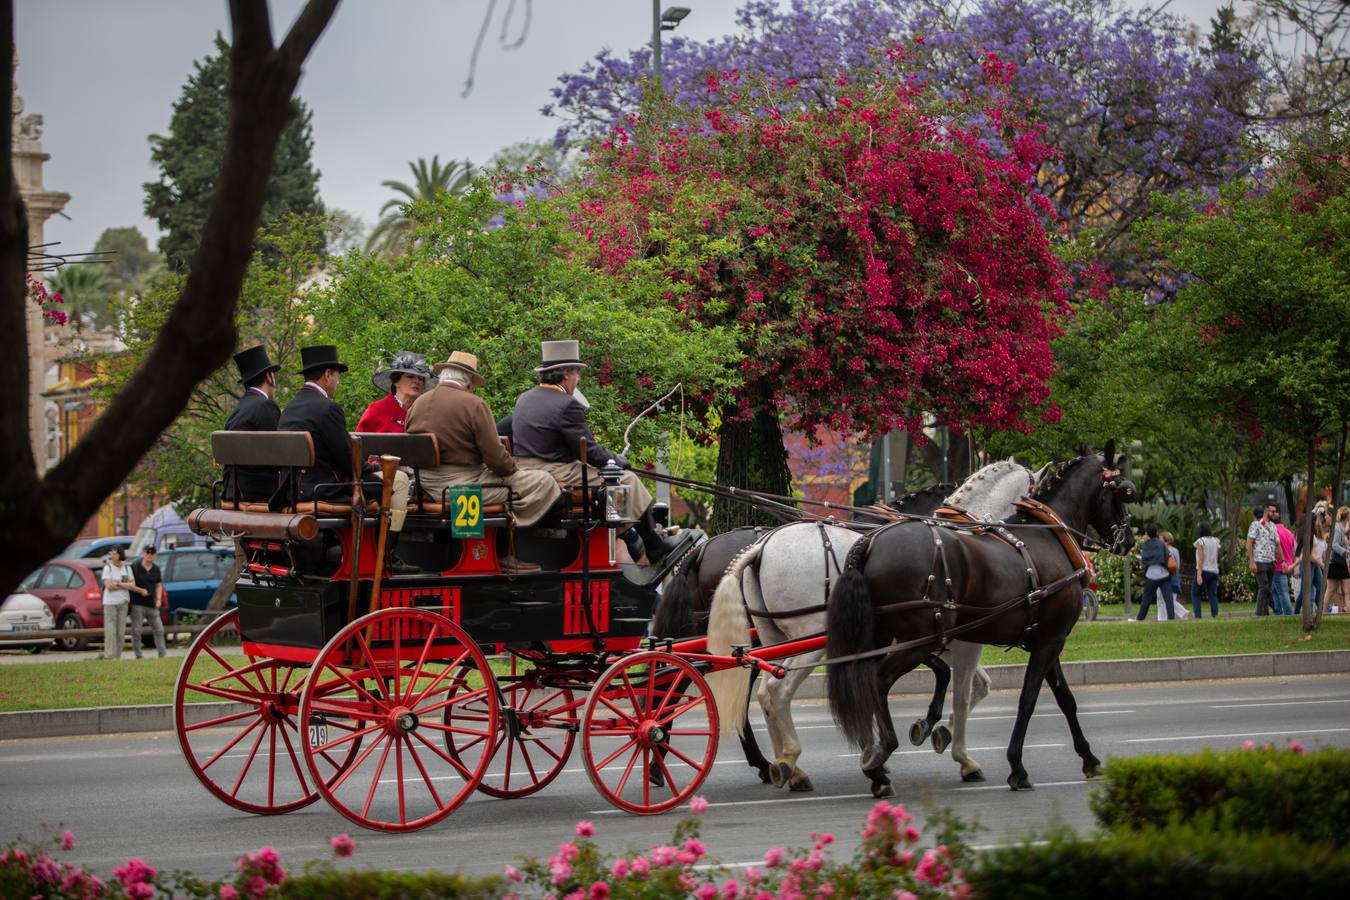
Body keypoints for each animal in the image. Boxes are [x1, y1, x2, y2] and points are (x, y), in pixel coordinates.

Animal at [691, 461, 1036, 793]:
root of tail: (760, 549)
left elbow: (970, 683)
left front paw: (918, 736)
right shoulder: (951, 639)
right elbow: (961, 688)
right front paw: (946, 745)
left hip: (773, 637)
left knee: (765, 693)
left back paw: (785, 767)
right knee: (773, 691)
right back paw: (784, 762)